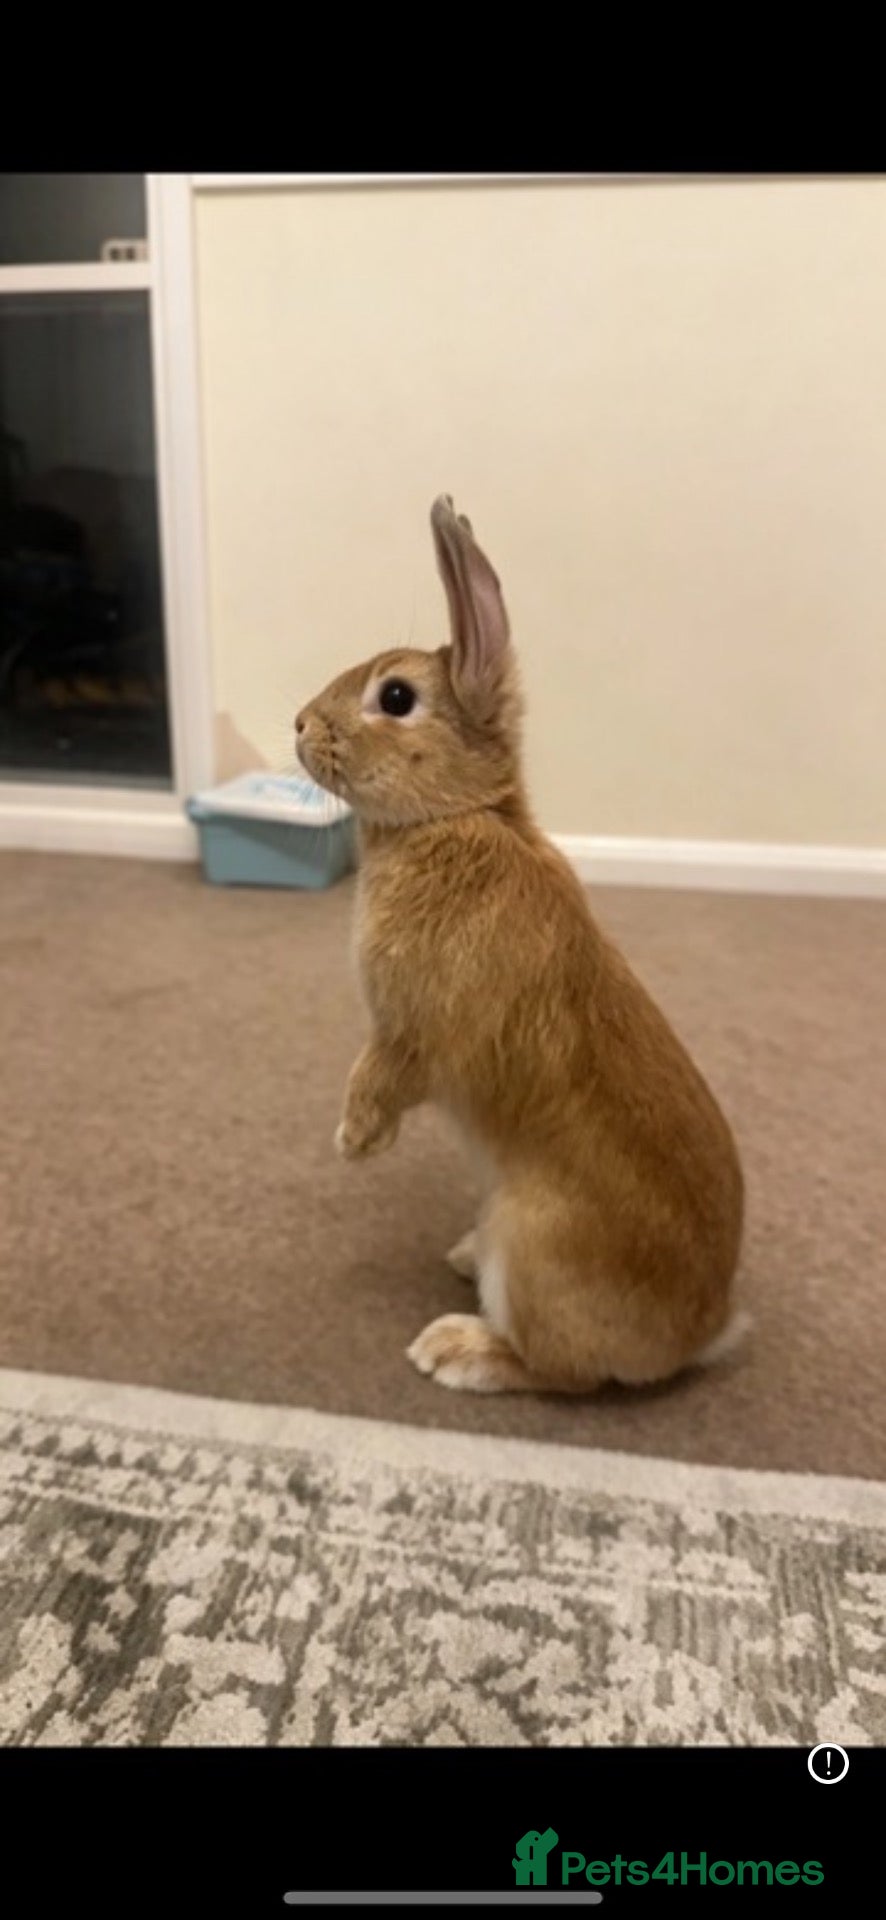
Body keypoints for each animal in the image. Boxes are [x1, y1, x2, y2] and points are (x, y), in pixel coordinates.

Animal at [294, 495, 746, 1394]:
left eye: (395, 696)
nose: (297, 724)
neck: (455, 817)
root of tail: (699, 1335)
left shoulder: (413, 1030)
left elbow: (381, 1073)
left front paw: (354, 1143)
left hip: (530, 1247)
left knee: (562, 1375)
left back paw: (458, 1349)